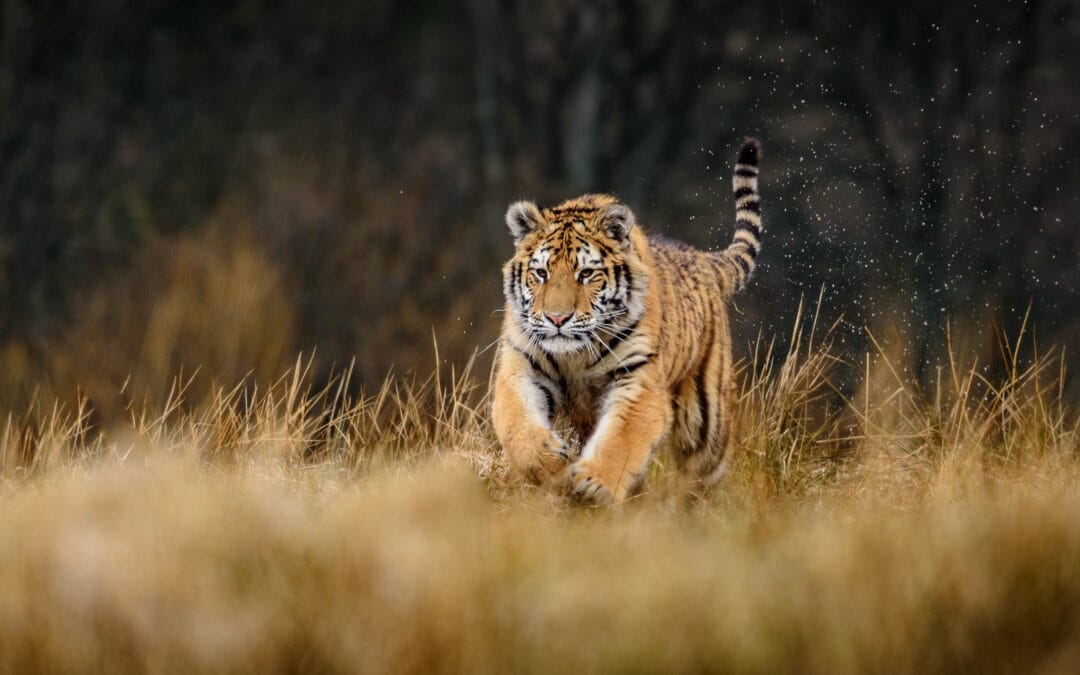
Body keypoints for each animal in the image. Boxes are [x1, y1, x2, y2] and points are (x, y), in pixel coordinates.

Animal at [492, 138, 762, 505]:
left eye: (585, 274)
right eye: (541, 273)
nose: (557, 318)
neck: (575, 354)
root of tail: (702, 258)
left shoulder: (638, 379)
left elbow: (622, 437)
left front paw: (595, 485)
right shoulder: (523, 365)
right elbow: (516, 421)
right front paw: (550, 464)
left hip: (706, 421)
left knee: (705, 472)